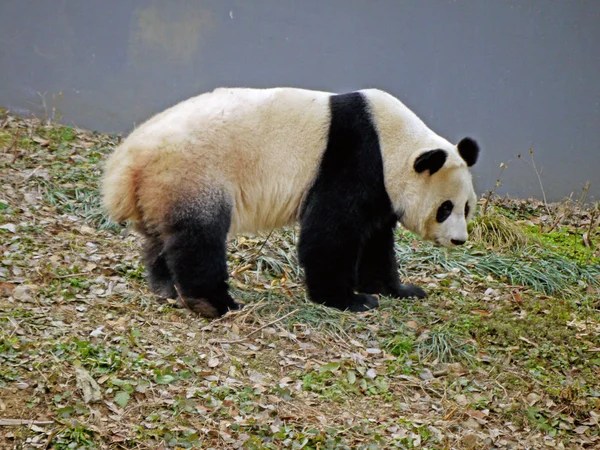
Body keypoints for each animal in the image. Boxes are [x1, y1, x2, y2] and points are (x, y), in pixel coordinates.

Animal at [102, 88, 478, 318]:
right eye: (445, 208)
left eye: (466, 207)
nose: (459, 240)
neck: (393, 142)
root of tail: (129, 160)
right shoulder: (353, 159)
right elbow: (329, 234)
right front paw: (350, 300)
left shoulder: (380, 189)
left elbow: (375, 242)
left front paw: (398, 290)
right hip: (194, 173)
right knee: (198, 239)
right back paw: (214, 302)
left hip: (160, 189)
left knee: (159, 239)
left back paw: (166, 289)